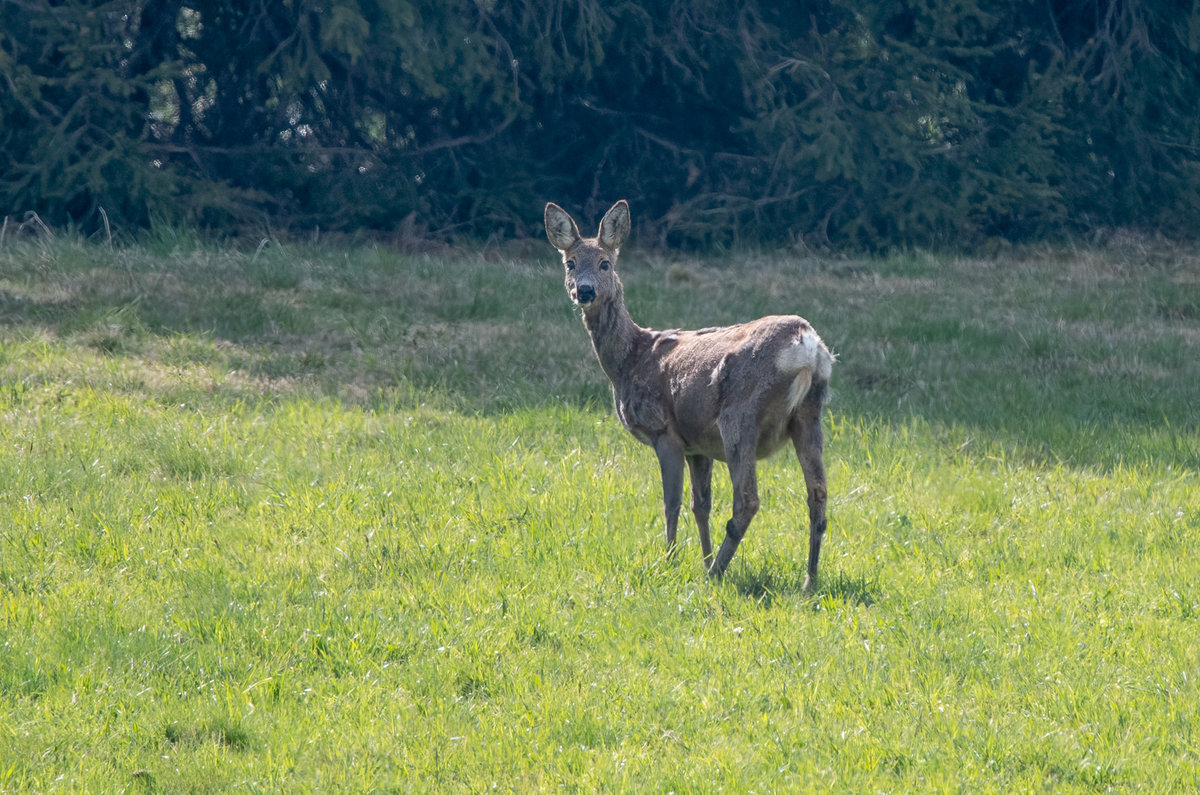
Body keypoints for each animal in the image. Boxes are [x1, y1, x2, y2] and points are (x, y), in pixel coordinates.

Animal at [545, 199, 835, 589]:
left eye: (605, 263)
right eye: (570, 263)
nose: (585, 291)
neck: (631, 359)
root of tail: (807, 345)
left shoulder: (664, 430)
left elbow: (672, 502)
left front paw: (669, 561)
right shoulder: (699, 444)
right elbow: (701, 505)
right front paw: (701, 557)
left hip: (739, 415)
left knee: (748, 499)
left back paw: (716, 574)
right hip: (809, 413)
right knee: (817, 494)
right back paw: (808, 581)